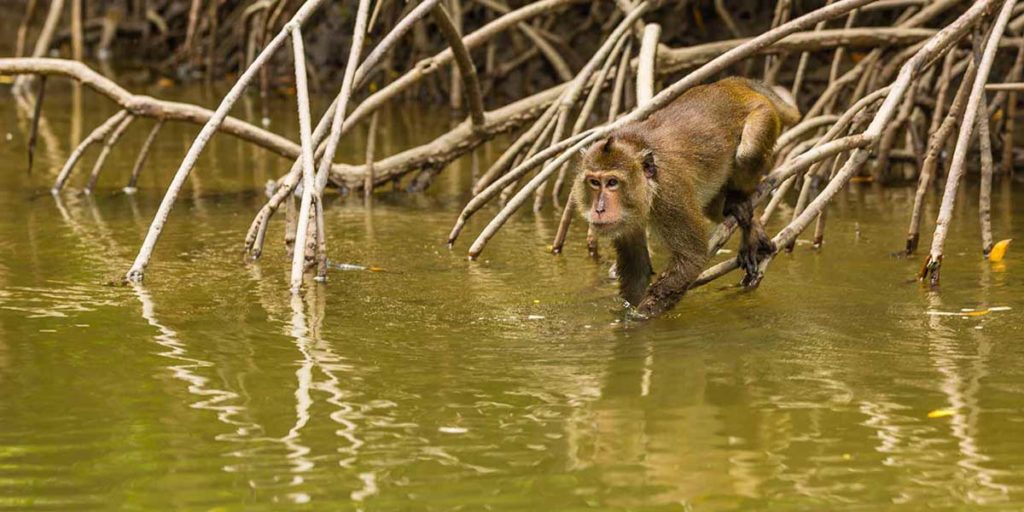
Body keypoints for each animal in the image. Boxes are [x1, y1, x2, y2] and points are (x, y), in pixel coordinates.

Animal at [577, 76, 798, 317]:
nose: (599, 209)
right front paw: (628, 311)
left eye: (612, 183)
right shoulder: (628, 221)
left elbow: (691, 258)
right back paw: (752, 226)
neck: (649, 188)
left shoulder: (671, 194)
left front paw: (640, 317)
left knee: (747, 153)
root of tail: (730, 83)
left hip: (763, 114)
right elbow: (636, 270)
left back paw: (740, 204)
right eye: (594, 182)